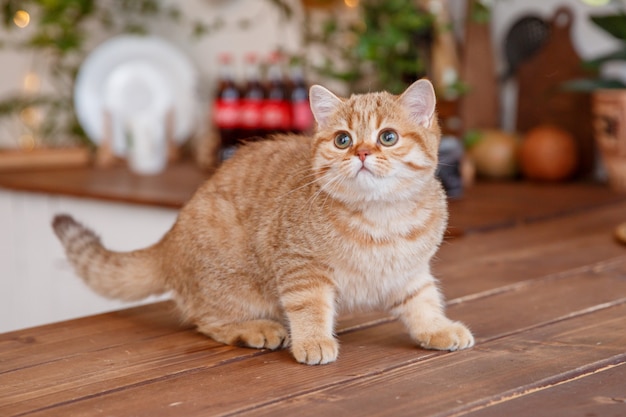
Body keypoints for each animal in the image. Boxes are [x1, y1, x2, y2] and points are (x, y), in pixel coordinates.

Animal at [52, 79, 472, 364]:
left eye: (387, 137)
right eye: (342, 140)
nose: (363, 153)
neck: (380, 217)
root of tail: (168, 240)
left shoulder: (410, 271)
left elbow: (423, 301)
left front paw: (437, 328)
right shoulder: (301, 267)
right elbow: (309, 307)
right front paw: (313, 341)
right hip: (231, 281)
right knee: (207, 319)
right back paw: (255, 328)